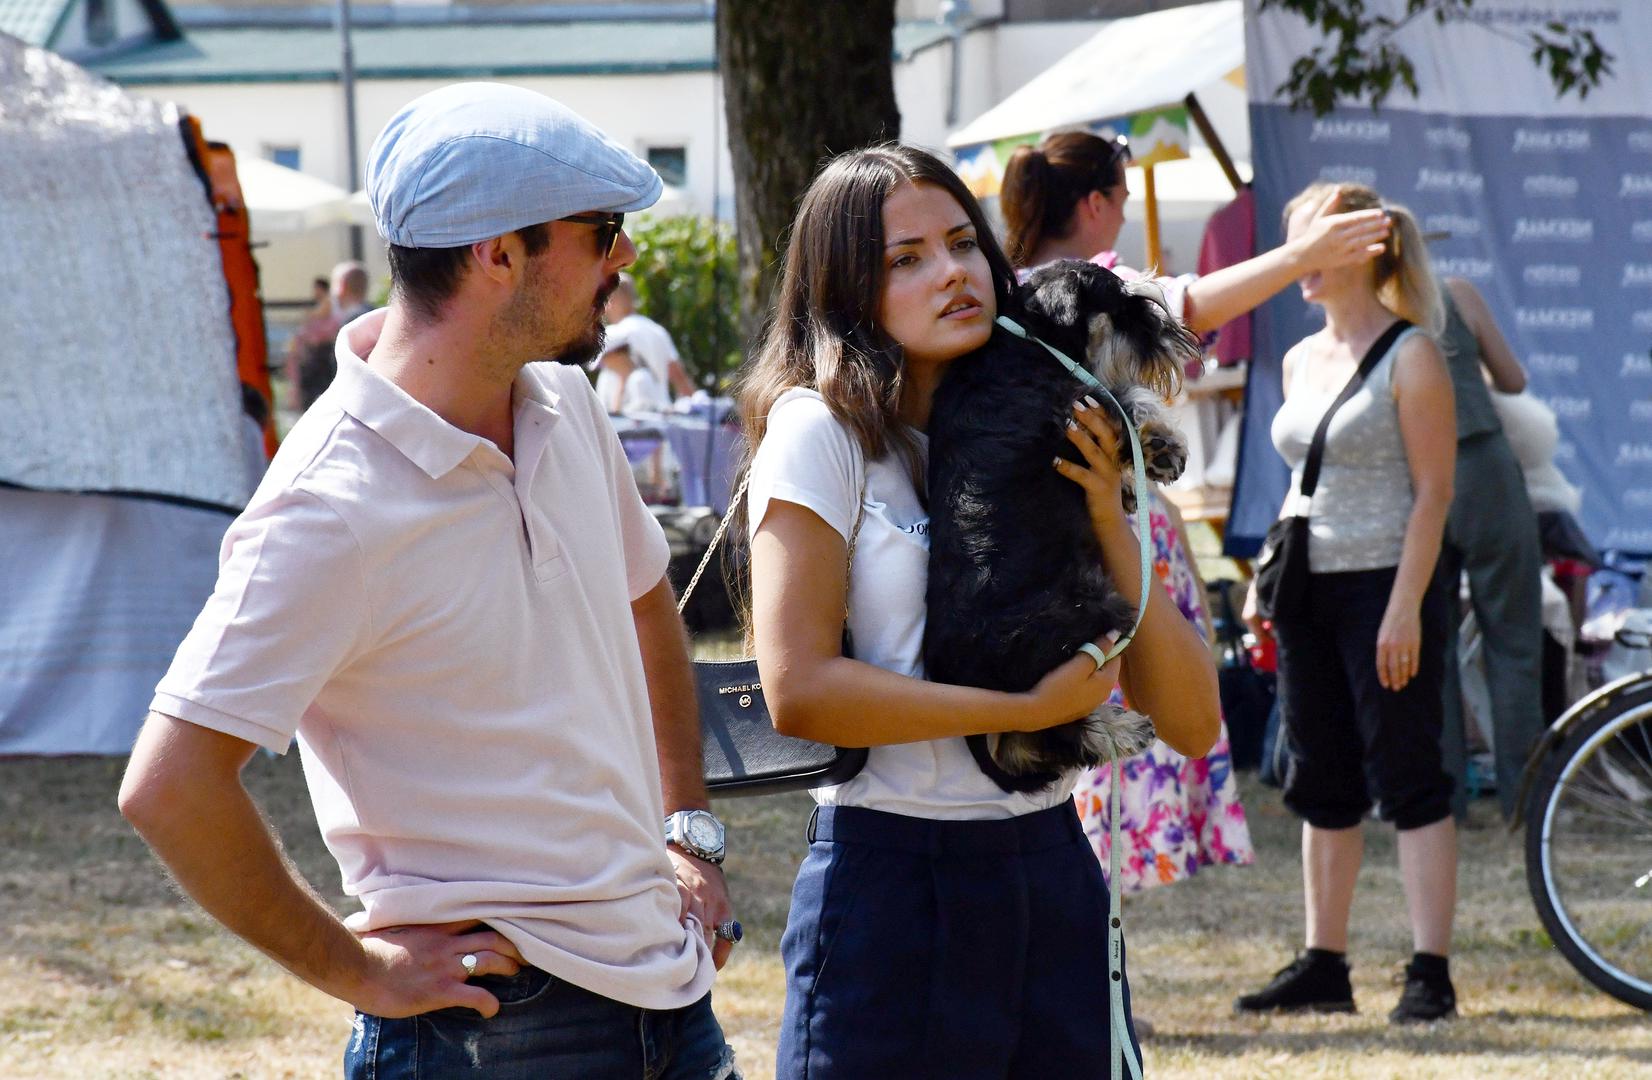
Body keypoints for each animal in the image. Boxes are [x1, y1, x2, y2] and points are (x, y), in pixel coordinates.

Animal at [931, 257, 1202, 792]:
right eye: (1123, 305)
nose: (1177, 335)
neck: (1030, 339)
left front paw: (1132, 484)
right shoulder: (1082, 406)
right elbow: (1127, 398)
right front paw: (1163, 447)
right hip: (1090, 619)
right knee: (1049, 729)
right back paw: (1121, 730)